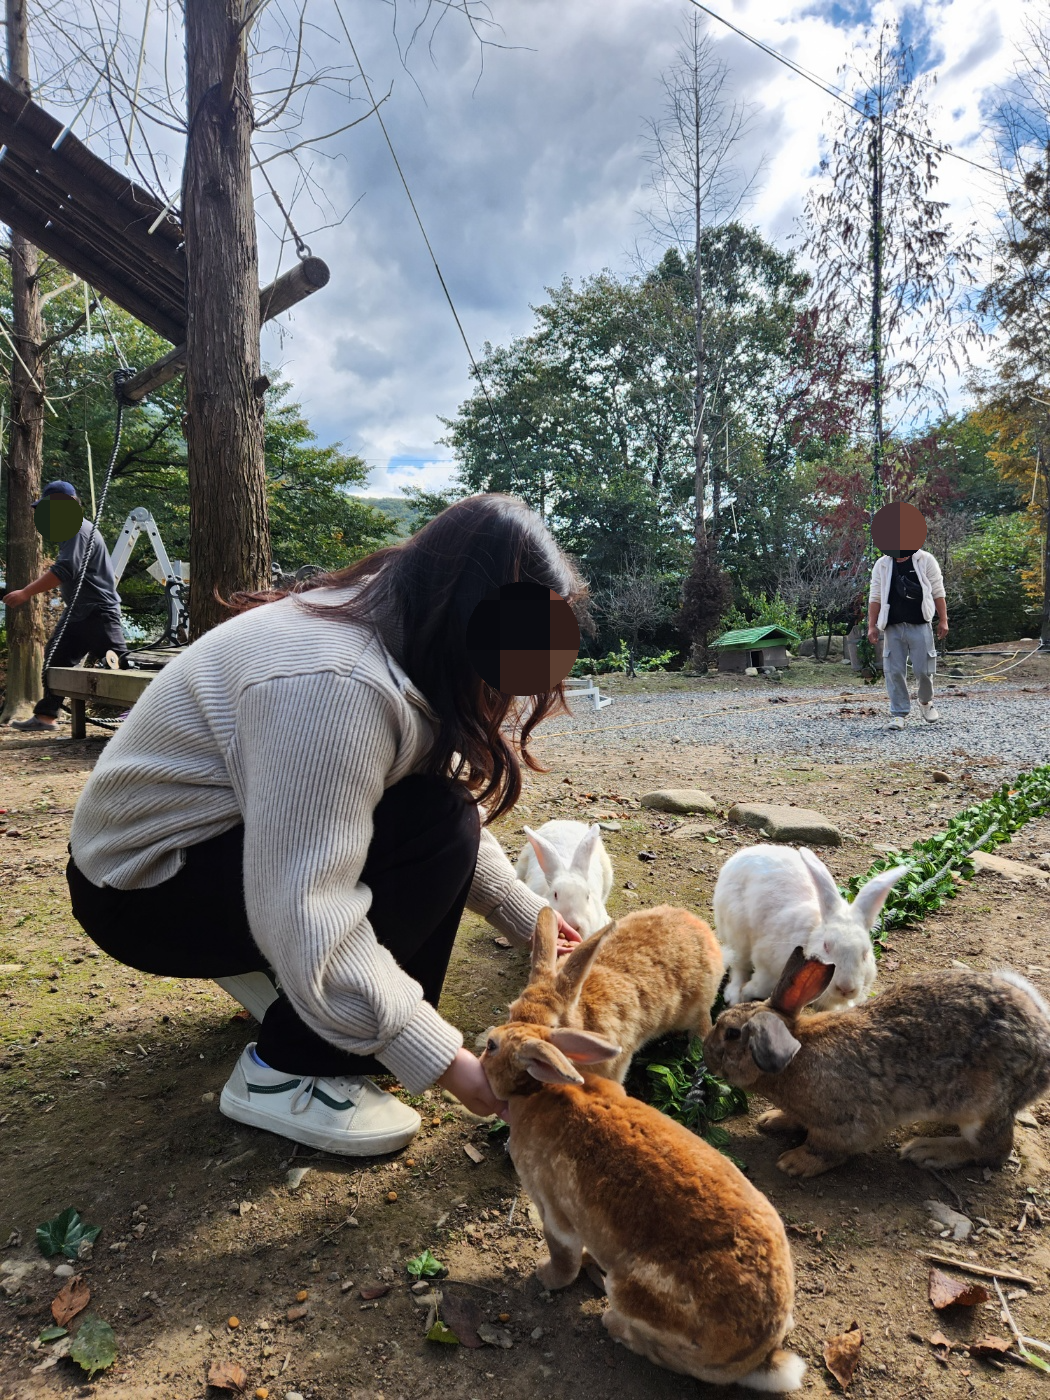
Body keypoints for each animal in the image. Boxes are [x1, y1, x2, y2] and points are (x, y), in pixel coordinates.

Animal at [484, 1019, 806, 1388]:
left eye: (491, 1047)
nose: (484, 1043)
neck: (537, 1090)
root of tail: (758, 1357)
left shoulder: (553, 1212)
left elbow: (562, 1256)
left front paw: (545, 1276)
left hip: (633, 1296)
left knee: (662, 1354)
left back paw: (613, 1325)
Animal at [702, 946, 1050, 1176]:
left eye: (732, 1034)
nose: (705, 1055)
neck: (796, 1056)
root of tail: (1043, 1048)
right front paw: (772, 1120)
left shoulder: (843, 1125)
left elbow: (828, 1149)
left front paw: (793, 1162)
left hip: (983, 1107)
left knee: (994, 1150)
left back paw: (927, 1152)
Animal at [716, 834, 912, 1013]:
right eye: (826, 946)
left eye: (865, 953)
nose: (846, 988)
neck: (810, 936)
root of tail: (743, 854)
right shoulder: (767, 966)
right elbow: (759, 985)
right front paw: (745, 995)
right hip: (737, 932)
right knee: (739, 965)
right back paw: (734, 995)